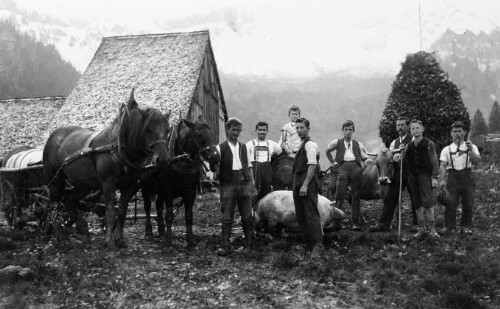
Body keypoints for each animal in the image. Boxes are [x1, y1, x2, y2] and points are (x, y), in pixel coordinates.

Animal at [42, 89, 170, 248]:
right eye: (149, 129)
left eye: (168, 130)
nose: (163, 159)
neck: (119, 148)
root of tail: (53, 136)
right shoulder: (108, 183)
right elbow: (110, 212)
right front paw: (109, 241)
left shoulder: (130, 186)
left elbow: (121, 212)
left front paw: (119, 240)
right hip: (55, 180)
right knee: (53, 205)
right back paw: (62, 237)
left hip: (84, 184)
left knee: (69, 201)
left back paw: (83, 228)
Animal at [141, 115, 219, 248]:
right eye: (199, 135)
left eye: (212, 133)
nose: (216, 157)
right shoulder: (168, 191)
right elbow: (169, 216)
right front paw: (168, 241)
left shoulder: (190, 193)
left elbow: (189, 216)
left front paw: (190, 241)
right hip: (145, 187)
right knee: (147, 207)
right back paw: (148, 232)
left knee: (158, 205)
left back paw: (161, 230)